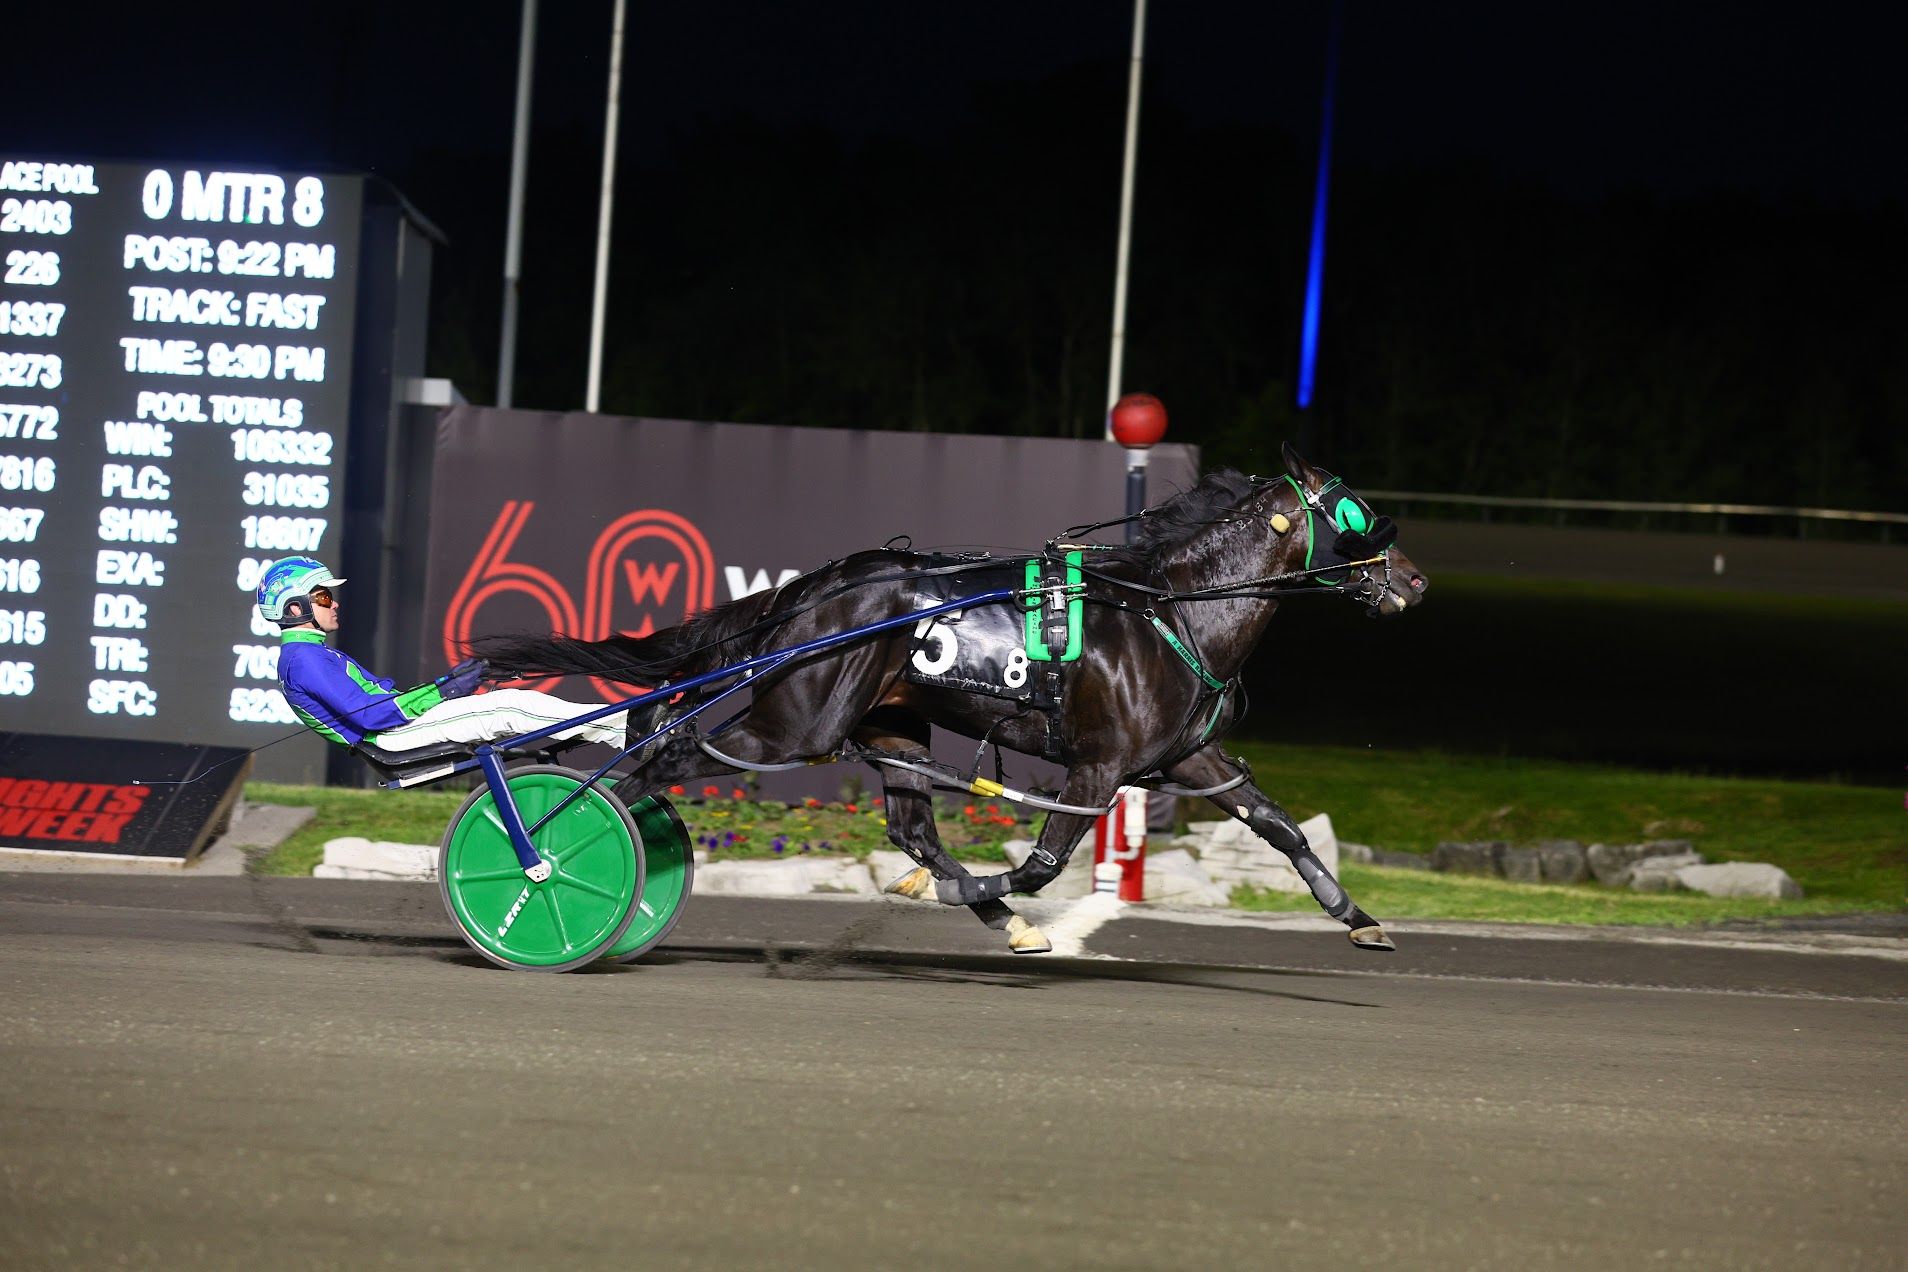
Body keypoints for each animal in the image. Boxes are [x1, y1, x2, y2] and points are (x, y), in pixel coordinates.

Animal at [480, 448, 1434, 953]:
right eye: (1357, 513)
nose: (1415, 581)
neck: (1169, 612)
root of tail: (813, 591)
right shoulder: (1097, 766)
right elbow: (1044, 862)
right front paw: (973, 898)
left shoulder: (1189, 757)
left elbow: (1277, 826)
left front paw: (1361, 920)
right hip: (797, 723)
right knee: (657, 761)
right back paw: (547, 857)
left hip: (891, 724)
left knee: (910, 824)